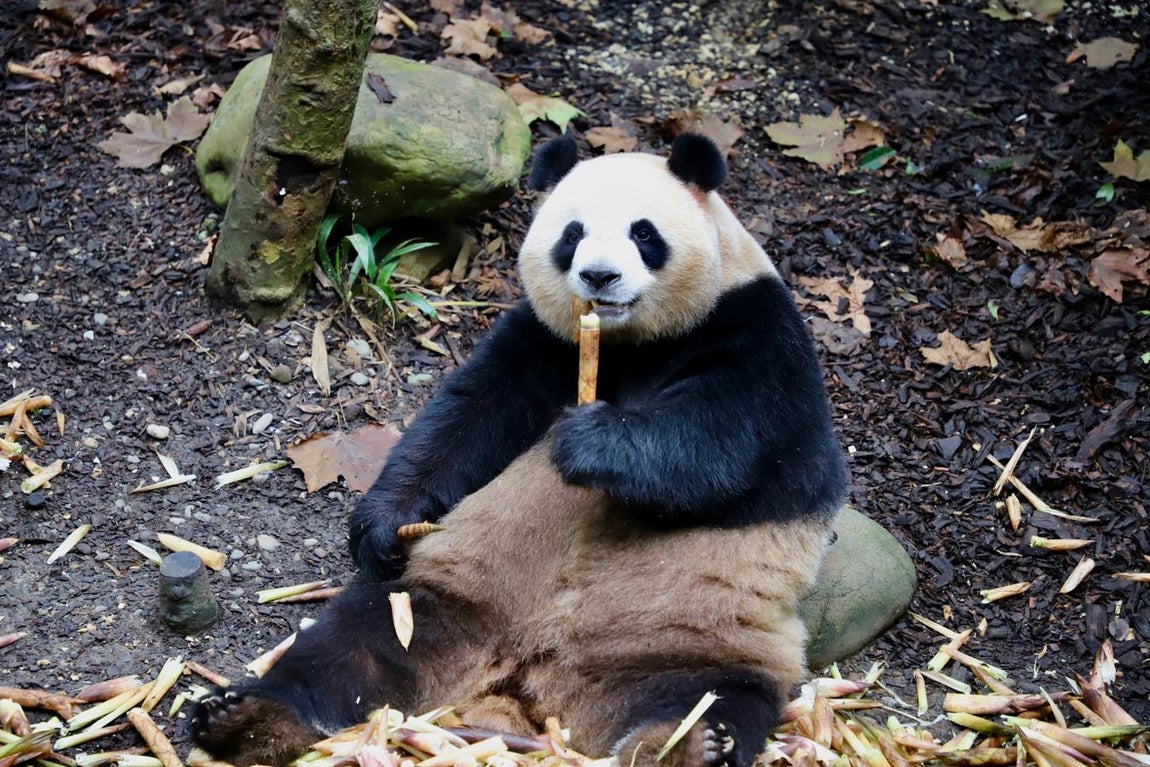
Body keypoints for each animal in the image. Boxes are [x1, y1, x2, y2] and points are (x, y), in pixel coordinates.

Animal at [190, 133, 847, 767]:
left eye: (644, 234)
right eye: (572, 235)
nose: (599, 277)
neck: (629, 341)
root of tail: (533, 676)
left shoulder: (757, 330)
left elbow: (727, 442)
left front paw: (589, 442)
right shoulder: (541, 336)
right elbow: (469, 416)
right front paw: (383, 525)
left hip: (691, 632)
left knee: (708, 695)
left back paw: (685, 744)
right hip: (448, 602)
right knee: (353, 646)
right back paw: (247, 719)